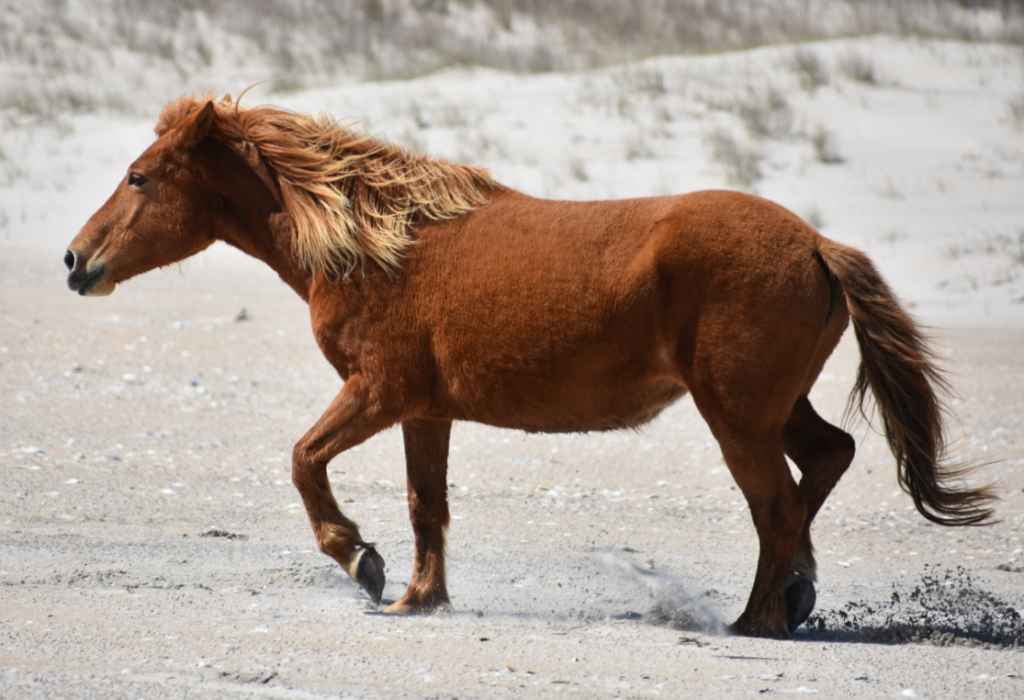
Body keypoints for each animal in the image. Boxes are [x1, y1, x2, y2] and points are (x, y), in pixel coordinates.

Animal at [65, 94, 994, 638]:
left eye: (139, 177)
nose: (75, 261)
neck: (379, 246)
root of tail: (814, 242)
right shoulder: (423, 409)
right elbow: (426, 506)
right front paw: (418, 596)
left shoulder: (377, 393)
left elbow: (303, 462)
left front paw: (361, 562)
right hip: (769, 408)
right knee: (826, 461)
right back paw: (795, 597)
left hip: (735, 415)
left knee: (775, 506)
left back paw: (757, 619)